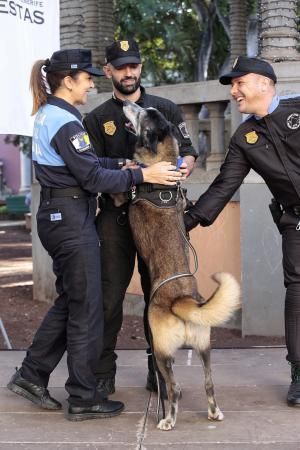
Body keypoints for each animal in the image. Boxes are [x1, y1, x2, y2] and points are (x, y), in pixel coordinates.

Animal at [120, 100, 240, 430]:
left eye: (142, 114)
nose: (127, 102)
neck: (163, 161)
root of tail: (183, 300)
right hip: (205, 348)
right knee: (209, 384)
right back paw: (213, 412)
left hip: (162, 351)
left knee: (173, 388)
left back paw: (168, 419)